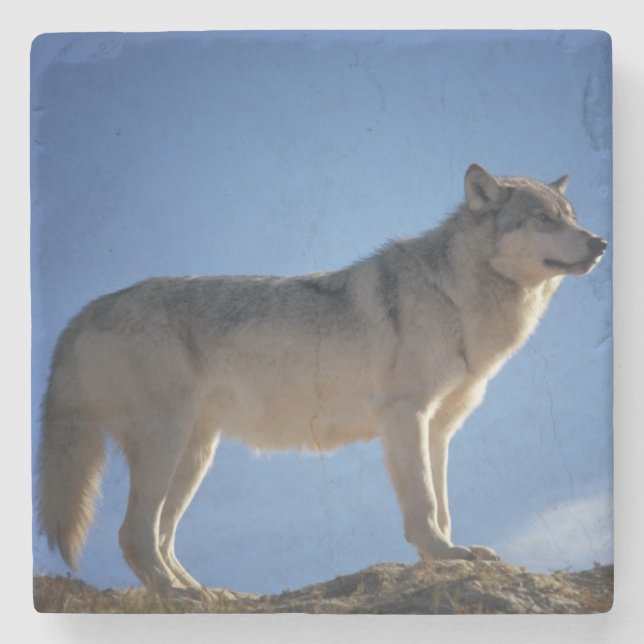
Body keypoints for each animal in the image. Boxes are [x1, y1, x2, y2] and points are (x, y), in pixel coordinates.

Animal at [37, 164, 607, 595]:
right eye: (543, 220)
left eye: (572, 218)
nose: (600, 243)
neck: (456, 297)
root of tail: (84, 311)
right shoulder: (406, 416)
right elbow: (424, 504)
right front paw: (442, 556)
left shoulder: (440, 429)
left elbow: (443, 506)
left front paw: (449, 555)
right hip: (167, 445)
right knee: (134, 535)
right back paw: (178, 596)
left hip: (195, 456)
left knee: (160, 537)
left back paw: (207, 593)